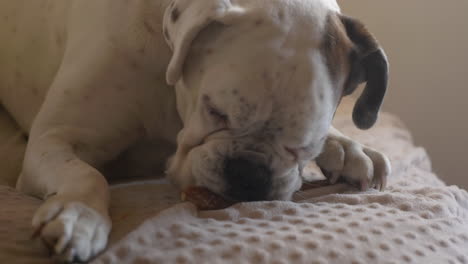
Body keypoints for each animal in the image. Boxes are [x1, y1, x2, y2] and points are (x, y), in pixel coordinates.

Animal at [0, 0, 390, 260]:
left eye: (304, 146)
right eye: (215, 111)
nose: (248, 172)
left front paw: (348, 147)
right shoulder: (55, 137)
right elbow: (86, 174)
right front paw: (79, 215)